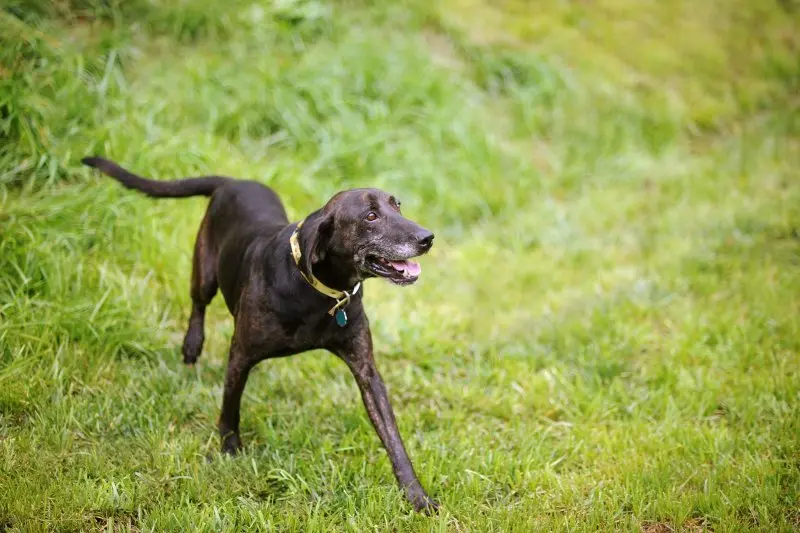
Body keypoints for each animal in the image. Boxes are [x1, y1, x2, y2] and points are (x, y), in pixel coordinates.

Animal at [83, 157, 438, 512]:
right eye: (370, 216)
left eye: (397, 205)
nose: (427, 237)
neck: (320, 291)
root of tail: (231, 181)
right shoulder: (240, 354)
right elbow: (230, 407)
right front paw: (229, 450)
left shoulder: (366, 370)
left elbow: (392, 437)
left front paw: (416, 496)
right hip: (204, 271)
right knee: (198, 303)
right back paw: (192, 345)